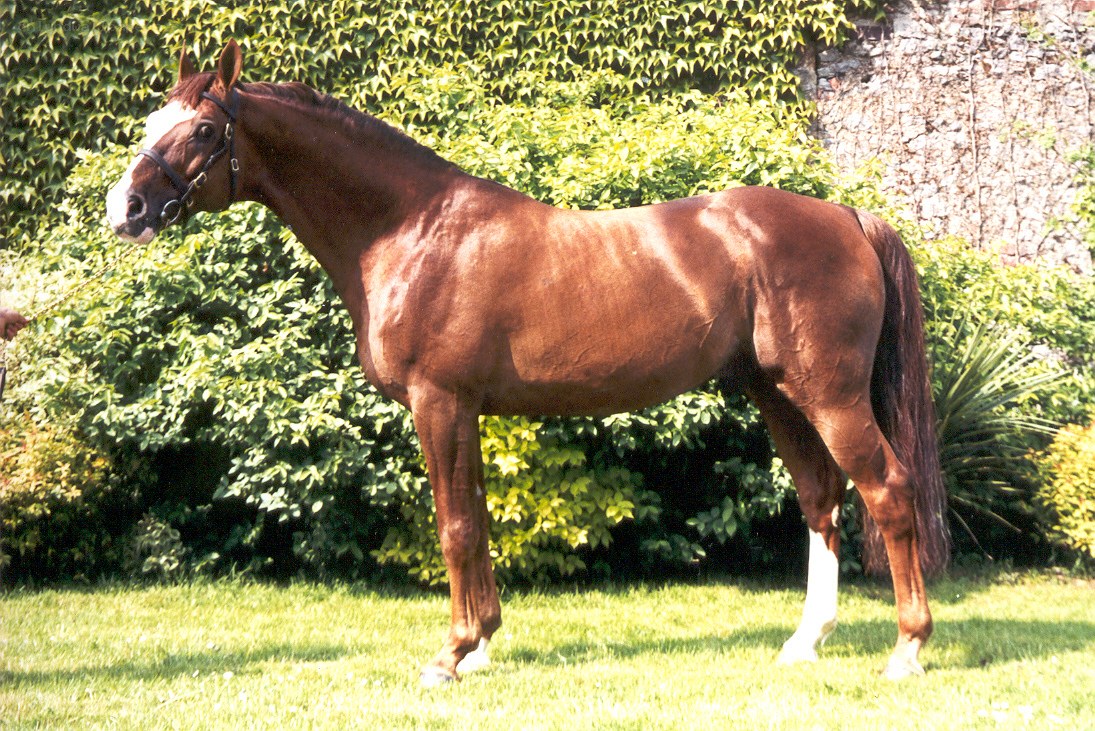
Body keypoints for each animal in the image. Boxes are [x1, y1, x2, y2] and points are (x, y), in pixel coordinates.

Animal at [107, 40, 946, 684]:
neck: (410, 229)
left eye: (204, 128)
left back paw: (905, 649)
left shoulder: (439, 401)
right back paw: (804, 642)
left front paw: (449, 655)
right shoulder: (464, 409)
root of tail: (847, 216)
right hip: (775, 391)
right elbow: (475, 519)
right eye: (152, 121)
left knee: (886, 489)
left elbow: (452, 526)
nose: (126, 209)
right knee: (820, 496)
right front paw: (480, 644)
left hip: (830, 394)